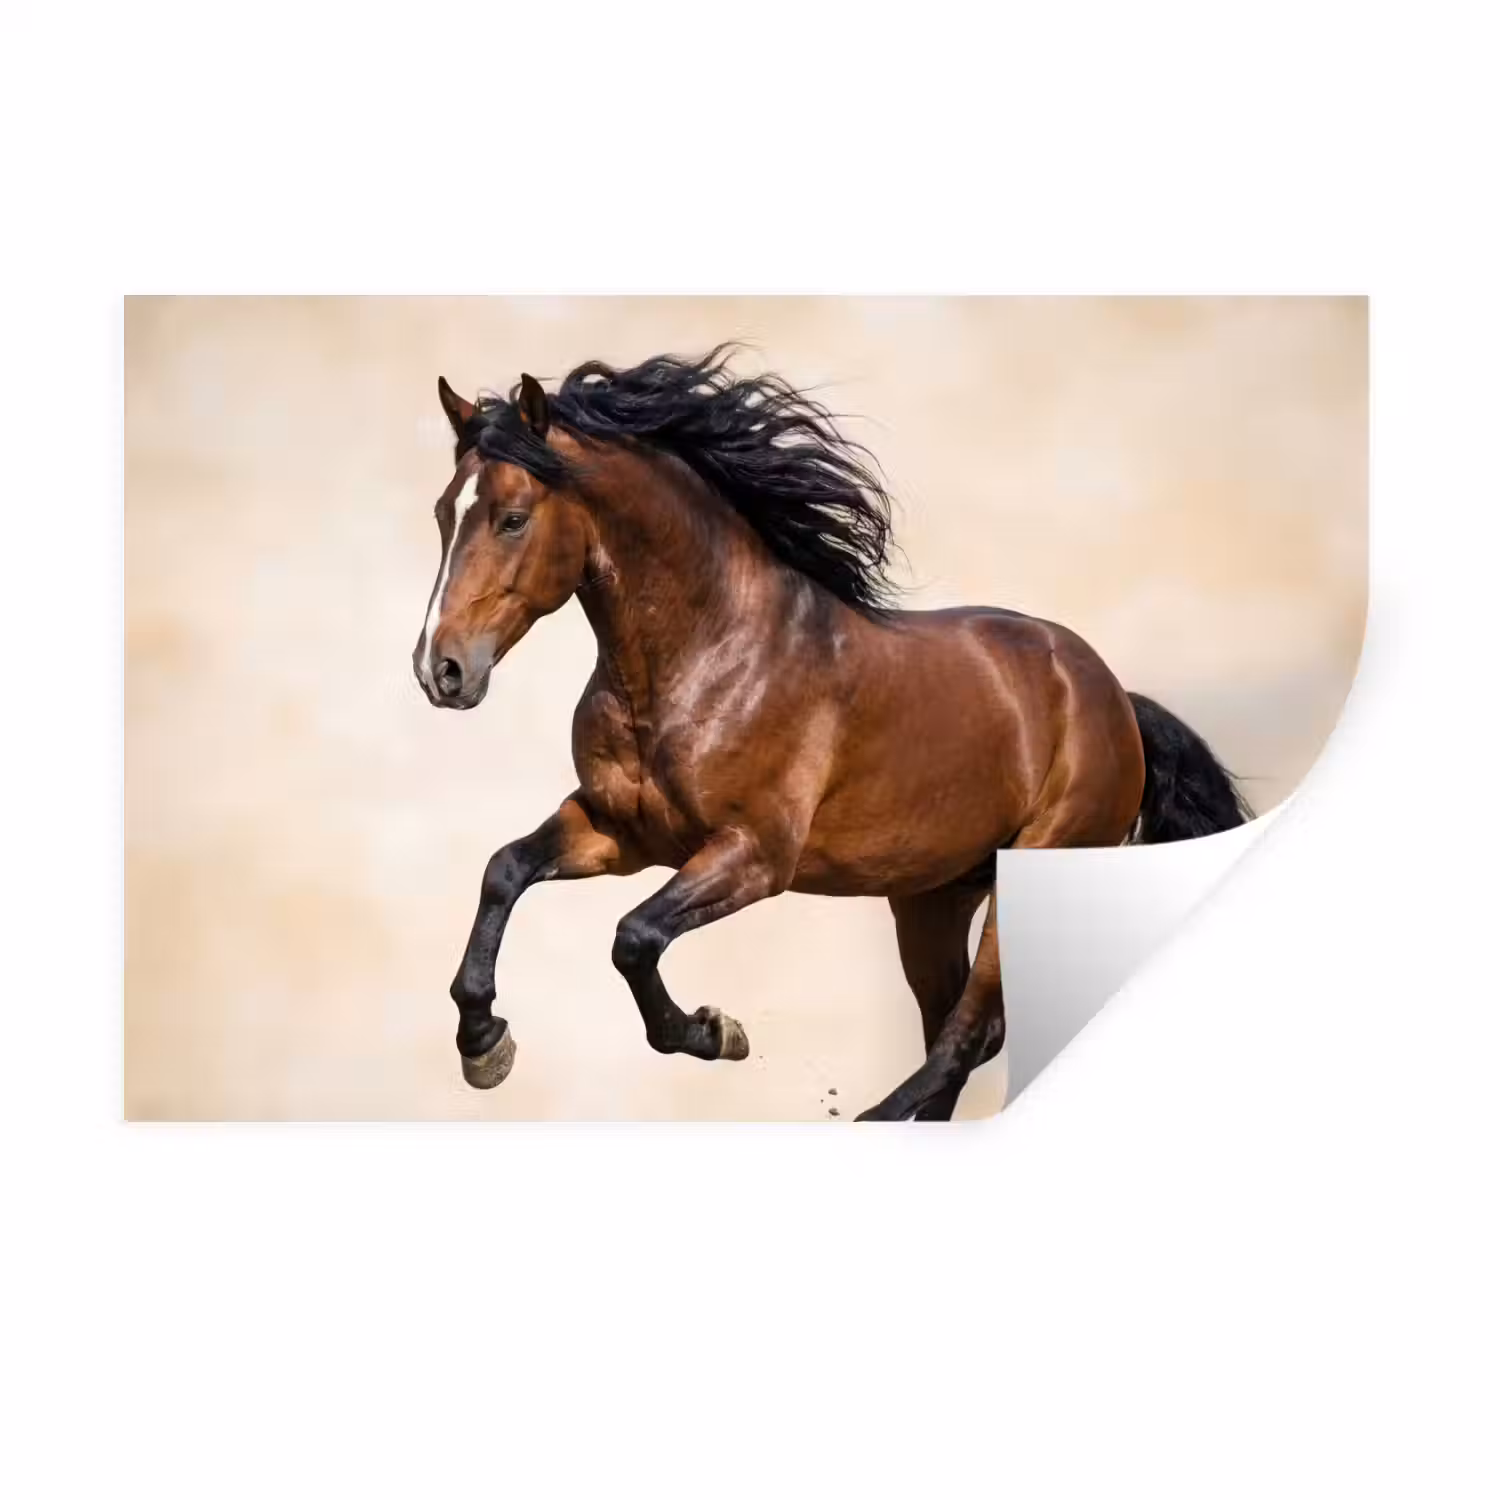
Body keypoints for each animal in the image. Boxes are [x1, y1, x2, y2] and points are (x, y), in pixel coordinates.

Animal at [412, 347, 1250, 1120]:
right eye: (444, 514)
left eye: (513, 518)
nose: (439, 669)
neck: (706, 654)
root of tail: (1113, 698)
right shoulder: (622, 833)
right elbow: (505, 871)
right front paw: (484, 1046)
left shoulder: (754, 855)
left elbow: (633, 937)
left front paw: (717, 1032)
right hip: (932, 898)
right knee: (959, 1026)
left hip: (1033, 866)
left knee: (969, 1034)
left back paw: (877, 1114)